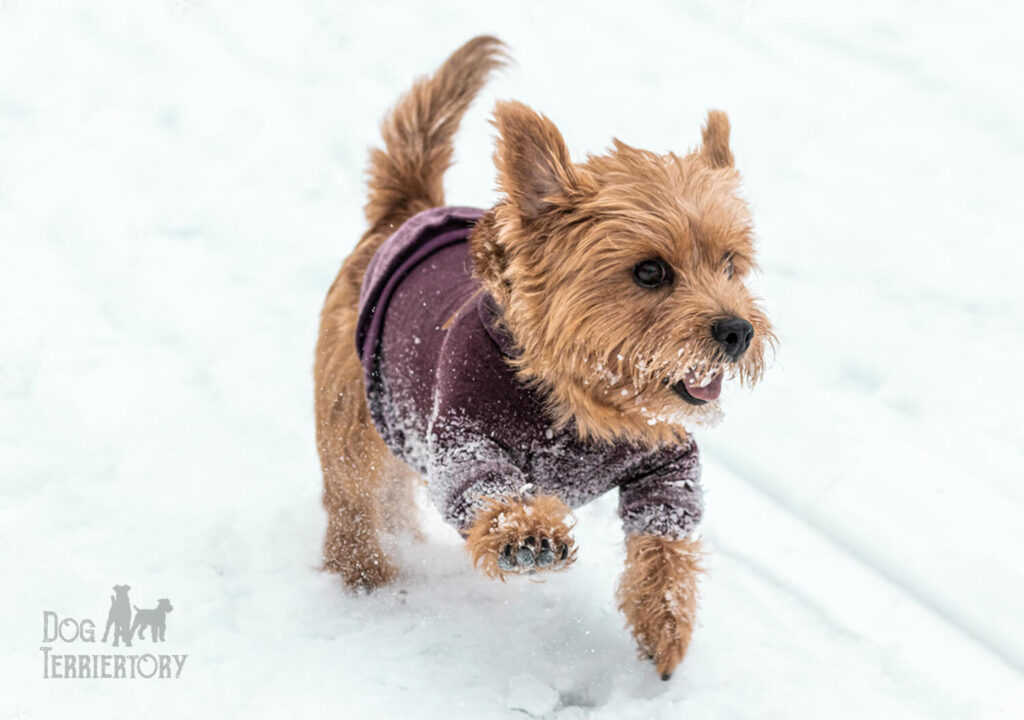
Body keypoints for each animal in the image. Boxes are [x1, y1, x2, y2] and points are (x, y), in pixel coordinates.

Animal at [315, 35, 770, 680]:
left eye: (730, 263)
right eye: (649, 271)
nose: (737, 331)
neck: (584, 402)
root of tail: (410, 211)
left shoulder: (668, 460)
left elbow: (665, 537)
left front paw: (666, 619)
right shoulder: (461, 436)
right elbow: (488, 488)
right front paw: (525, 535)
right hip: (354, 415)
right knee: (351, 500)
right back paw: (366, 576)